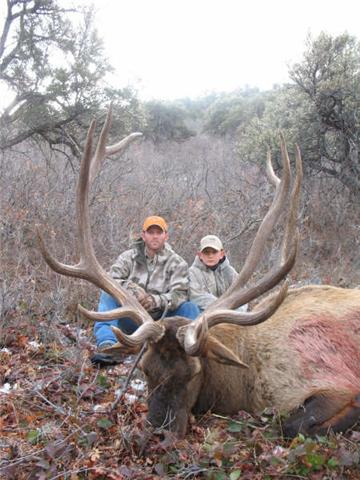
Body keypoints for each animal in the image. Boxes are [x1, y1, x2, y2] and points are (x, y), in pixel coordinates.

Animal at [37, 111, 360, 438]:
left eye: (194, 372)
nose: (158, 432)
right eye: (145, 369)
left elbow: (292, 425)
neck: (245, 381)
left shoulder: (333, 381)